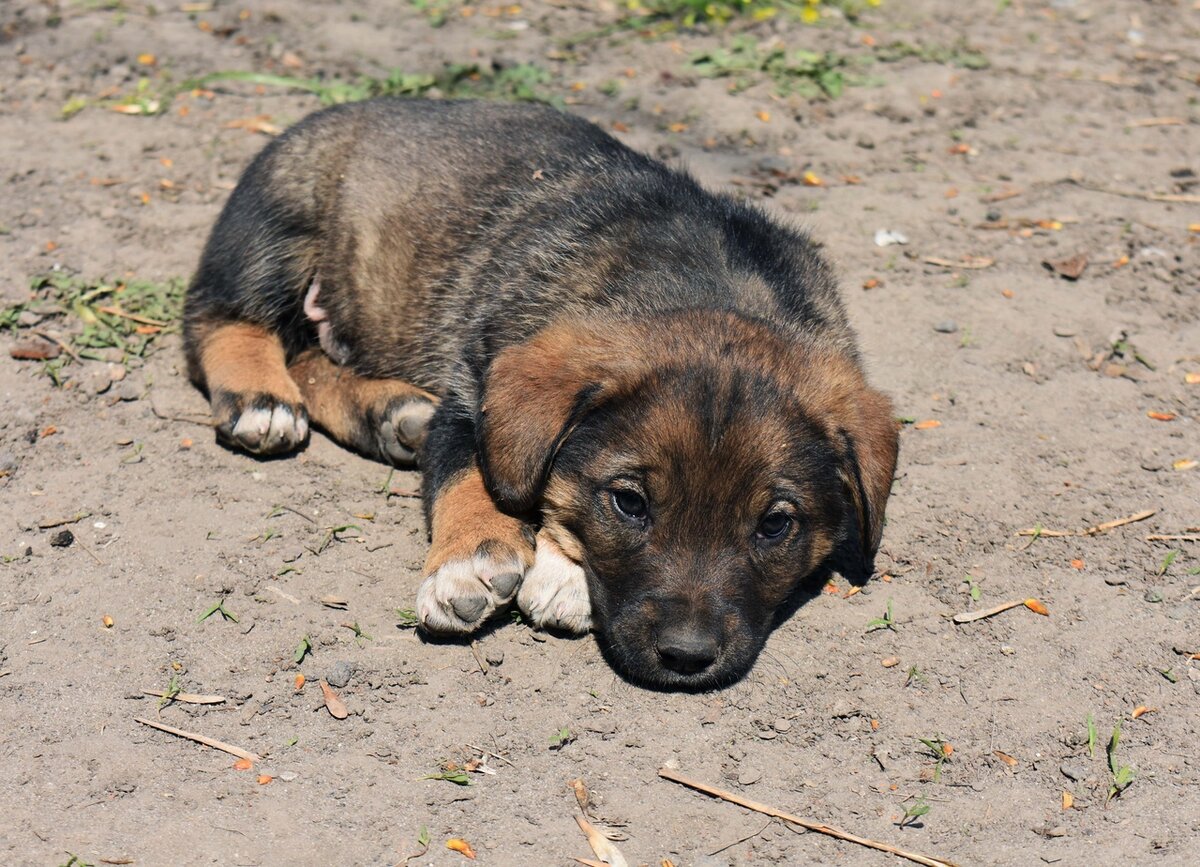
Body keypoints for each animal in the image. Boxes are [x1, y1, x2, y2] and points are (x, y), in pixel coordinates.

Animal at [184, 96, 902, 686]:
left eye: (775, 524)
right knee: (220, 318)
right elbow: (475, 476)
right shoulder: (474, 390)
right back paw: (259, 398)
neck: (707, 288)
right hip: (276, 220)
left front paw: (559, 572)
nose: (686, 657)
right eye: (630, 503)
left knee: (307, 354)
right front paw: (470, 563)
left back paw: (391, 413)